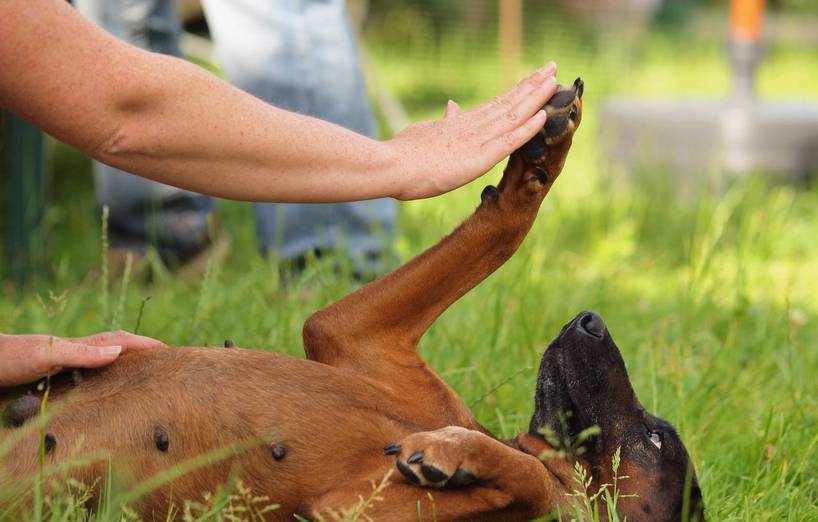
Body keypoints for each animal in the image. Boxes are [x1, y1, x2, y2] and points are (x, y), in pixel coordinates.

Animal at [0, 78, 700, 520]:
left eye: (656, 441)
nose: (590, 319)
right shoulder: (349, 332)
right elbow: (501, 229)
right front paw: (540, 150)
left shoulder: (346, 512)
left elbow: (529, 484)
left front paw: (454, 456)